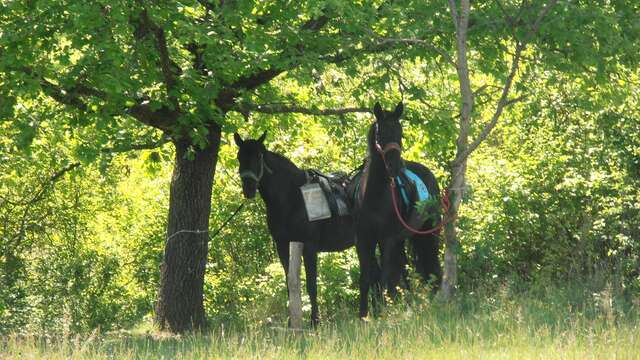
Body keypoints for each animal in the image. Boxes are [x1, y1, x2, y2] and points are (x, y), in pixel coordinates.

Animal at [235, 132, 380, 326]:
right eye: (239, 157)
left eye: (258, 156)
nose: (249, 188)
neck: (293, 197)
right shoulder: (283, 246)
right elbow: (289, 282)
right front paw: (292, 321)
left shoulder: (309, 246)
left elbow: (312, 284)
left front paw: (315, 321)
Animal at [348, 101, 442, 318]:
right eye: (380, 133)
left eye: (400, 133)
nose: (395, 167)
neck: (374, 196)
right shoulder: (363, 241)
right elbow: (366, 278)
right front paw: (364, 315)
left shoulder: (387, 240)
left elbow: (385, 277)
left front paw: (382, 312)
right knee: (404, 268)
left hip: (427, 233)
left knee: (431, 262)